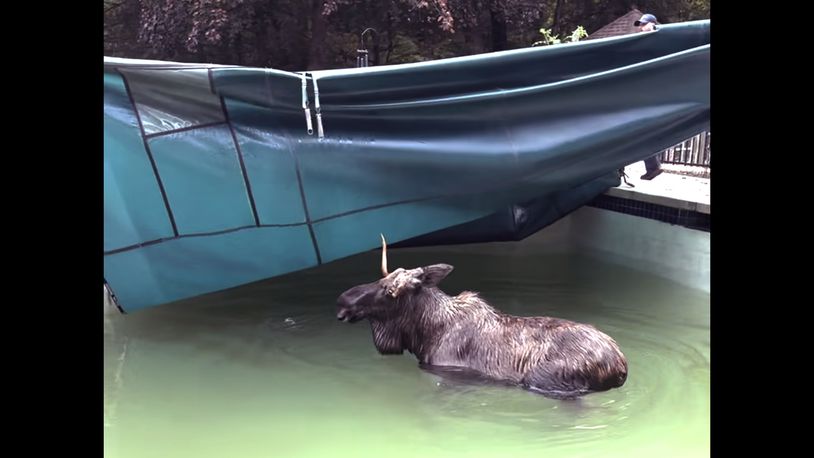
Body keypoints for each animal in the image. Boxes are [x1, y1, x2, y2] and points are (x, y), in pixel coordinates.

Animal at [338, 236, 632, 398]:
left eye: (390, 291)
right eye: (383, 279)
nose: (343, 300)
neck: (423, 333)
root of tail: (621, 365)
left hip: (546, 382)